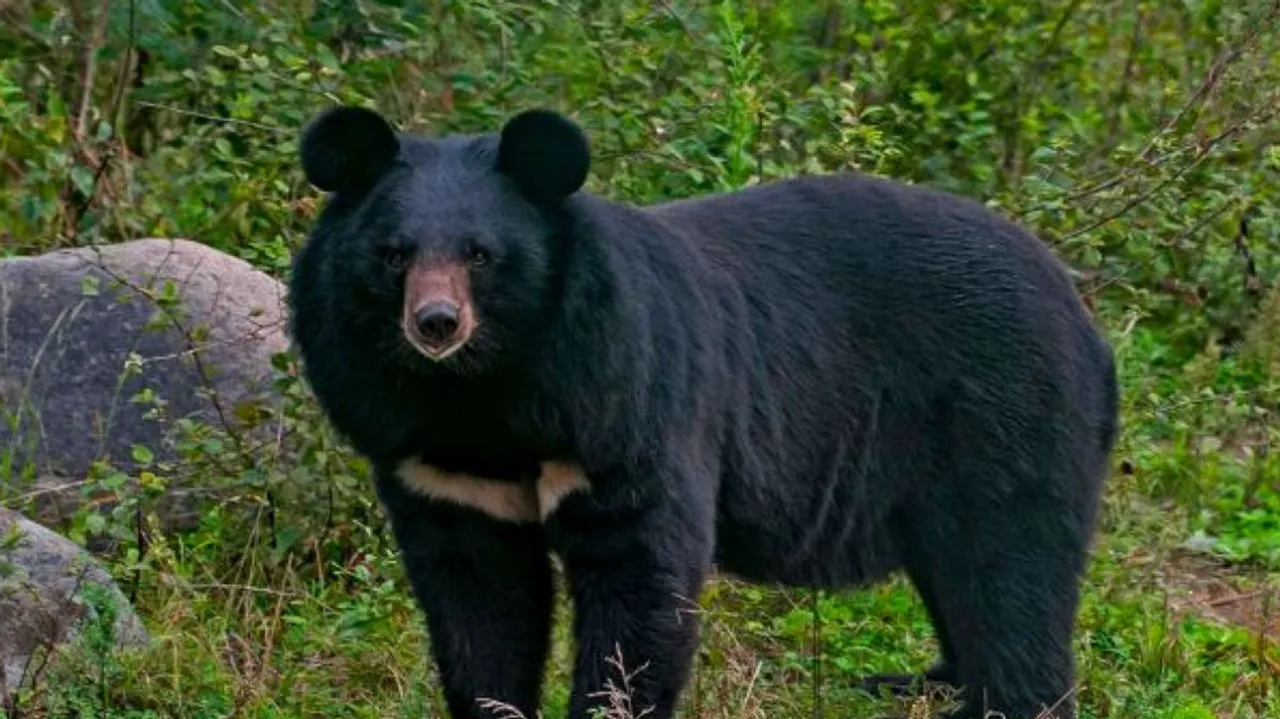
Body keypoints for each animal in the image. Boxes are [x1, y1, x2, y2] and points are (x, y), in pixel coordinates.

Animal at [286, 104, 1120, 719]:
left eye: (481, 255)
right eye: (394, 255)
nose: (435, 324)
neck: (482, 393)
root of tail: (1082, 315)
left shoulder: (623, 405)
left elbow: (639, 580)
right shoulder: (433, 461)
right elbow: (477, 602)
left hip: (1004, 414)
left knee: (1010, 571)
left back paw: (1005, 699)